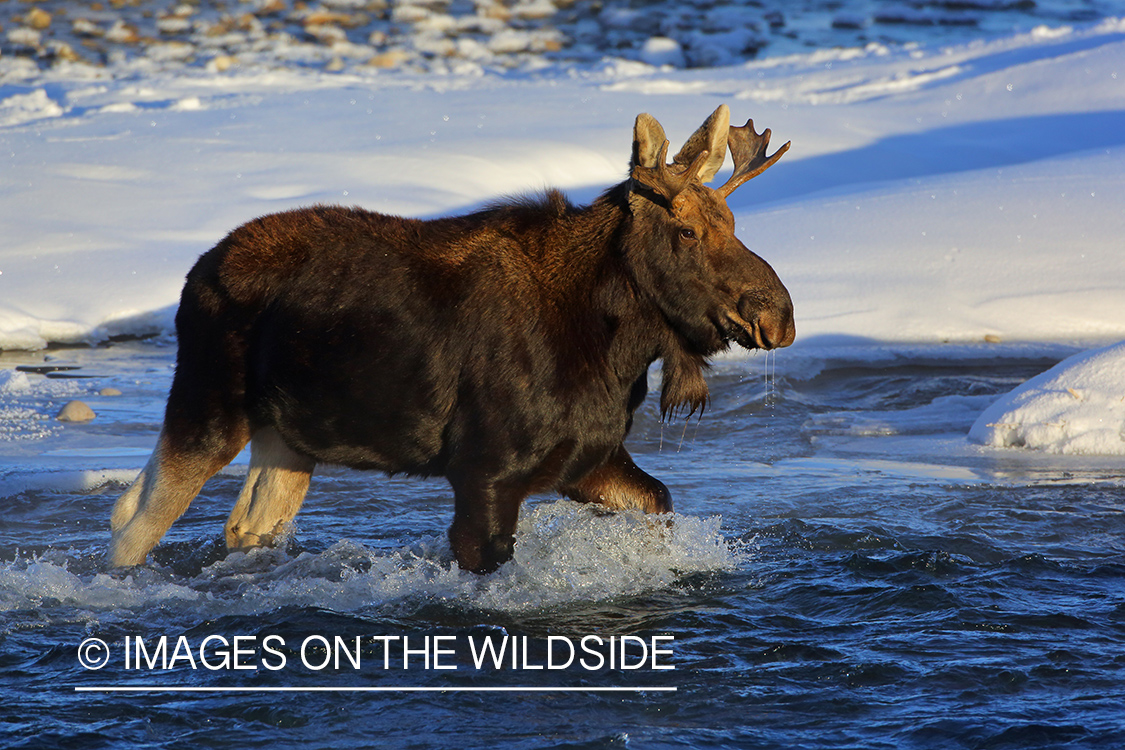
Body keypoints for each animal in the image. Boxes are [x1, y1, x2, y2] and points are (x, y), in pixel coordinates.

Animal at [105, 104, 792, 575]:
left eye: (733, 221)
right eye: (685, 232)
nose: (779, 314)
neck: (613, 347)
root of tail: (196, 273)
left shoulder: (588, 460)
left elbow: (660, 503)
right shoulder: (483, 472)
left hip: (289, 434)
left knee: (246, 523)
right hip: (209, 403)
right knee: (132, 518)